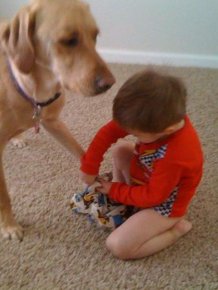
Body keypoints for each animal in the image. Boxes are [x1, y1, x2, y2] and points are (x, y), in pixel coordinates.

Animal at [0, 0, 115, 240]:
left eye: (95, 36)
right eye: (69, 40)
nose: (110, 84)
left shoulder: (53, 122)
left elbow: (81, 151)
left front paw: (97, 178)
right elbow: (3, 194)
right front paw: (9, 226)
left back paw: (17, 137)